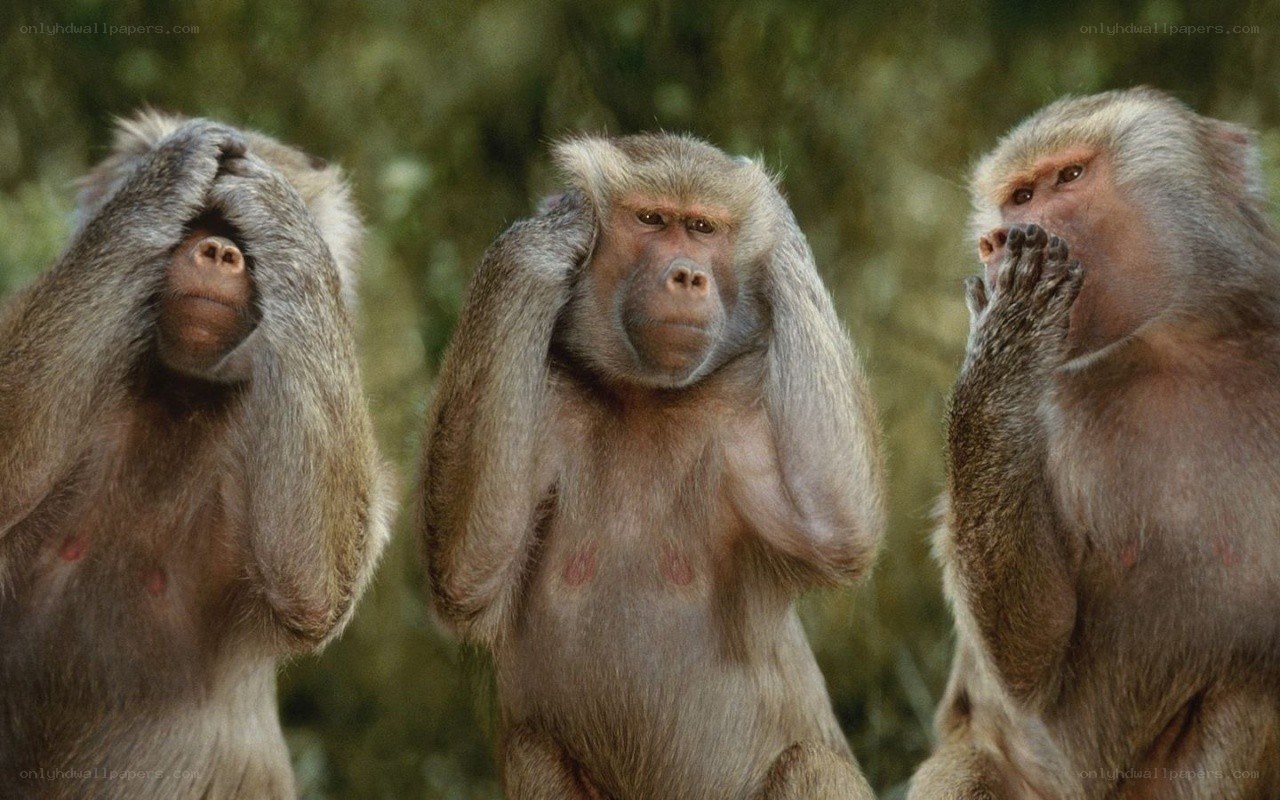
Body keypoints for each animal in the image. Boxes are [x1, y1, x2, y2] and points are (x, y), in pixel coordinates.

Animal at [0, 111, 391, 799]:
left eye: (241, 238)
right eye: (198, 221)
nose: (218, 251)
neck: (179, 395)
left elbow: (314, 583)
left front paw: (274, 205)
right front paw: (169, 172)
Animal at [417, 134, 885, 800]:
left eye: (703, 228)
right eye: (652, 220)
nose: (687, 275)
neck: (643, 397)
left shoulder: (740, 407)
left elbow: (837, 527)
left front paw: (781, 229)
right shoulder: (548, 398)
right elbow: (467, 573)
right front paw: (548, 234)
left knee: (813, 766)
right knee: (533, 752)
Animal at [909, 88, 1280, 800]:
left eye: (1070, 177)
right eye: (1019, 196)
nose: (996, 239)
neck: (1170, 348)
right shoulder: (1048, 406)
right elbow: (1032, 657)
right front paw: (1007, 338)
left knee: (1254, 689)